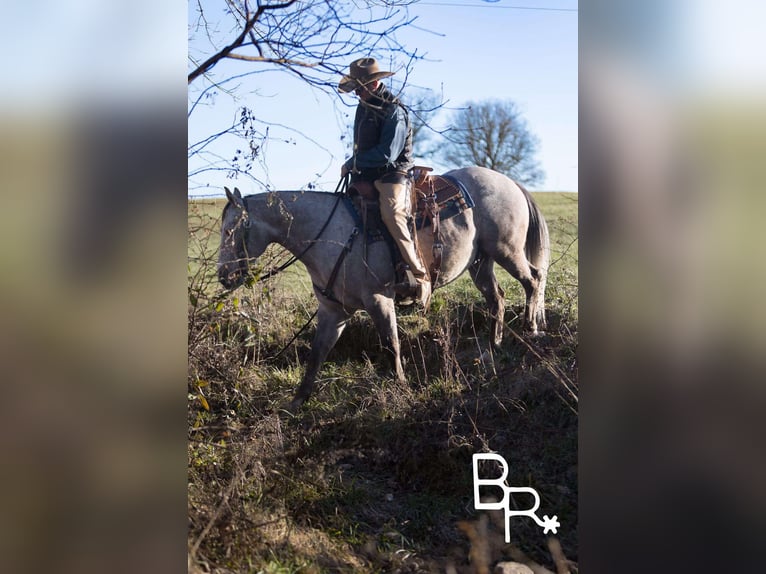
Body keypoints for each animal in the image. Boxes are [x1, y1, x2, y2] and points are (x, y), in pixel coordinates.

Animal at [217, 166, 549, 411]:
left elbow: (391, 343)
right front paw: (296, 402)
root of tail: (509, 182)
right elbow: (317, 354)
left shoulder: (379, 299)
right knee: (498, 299)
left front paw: (401, 386)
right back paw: (493, 345)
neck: (332, 235)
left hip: (506, 250)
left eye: (230, 230)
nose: (223, 276)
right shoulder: (334, 311)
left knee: (533, 280)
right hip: (481, 262)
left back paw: (531, 328)